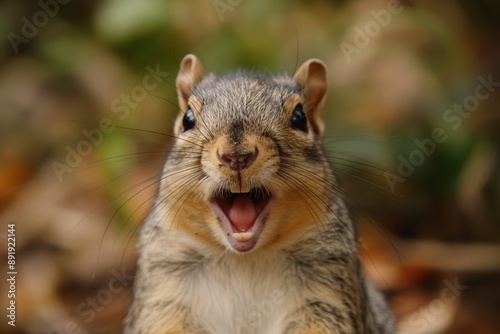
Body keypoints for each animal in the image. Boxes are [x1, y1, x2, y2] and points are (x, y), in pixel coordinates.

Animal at [123, 53, 392, 332]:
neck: (245, 259)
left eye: (300, 118)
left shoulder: (328, 289)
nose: (236, 155)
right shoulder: (163, 290)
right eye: (188, 119)